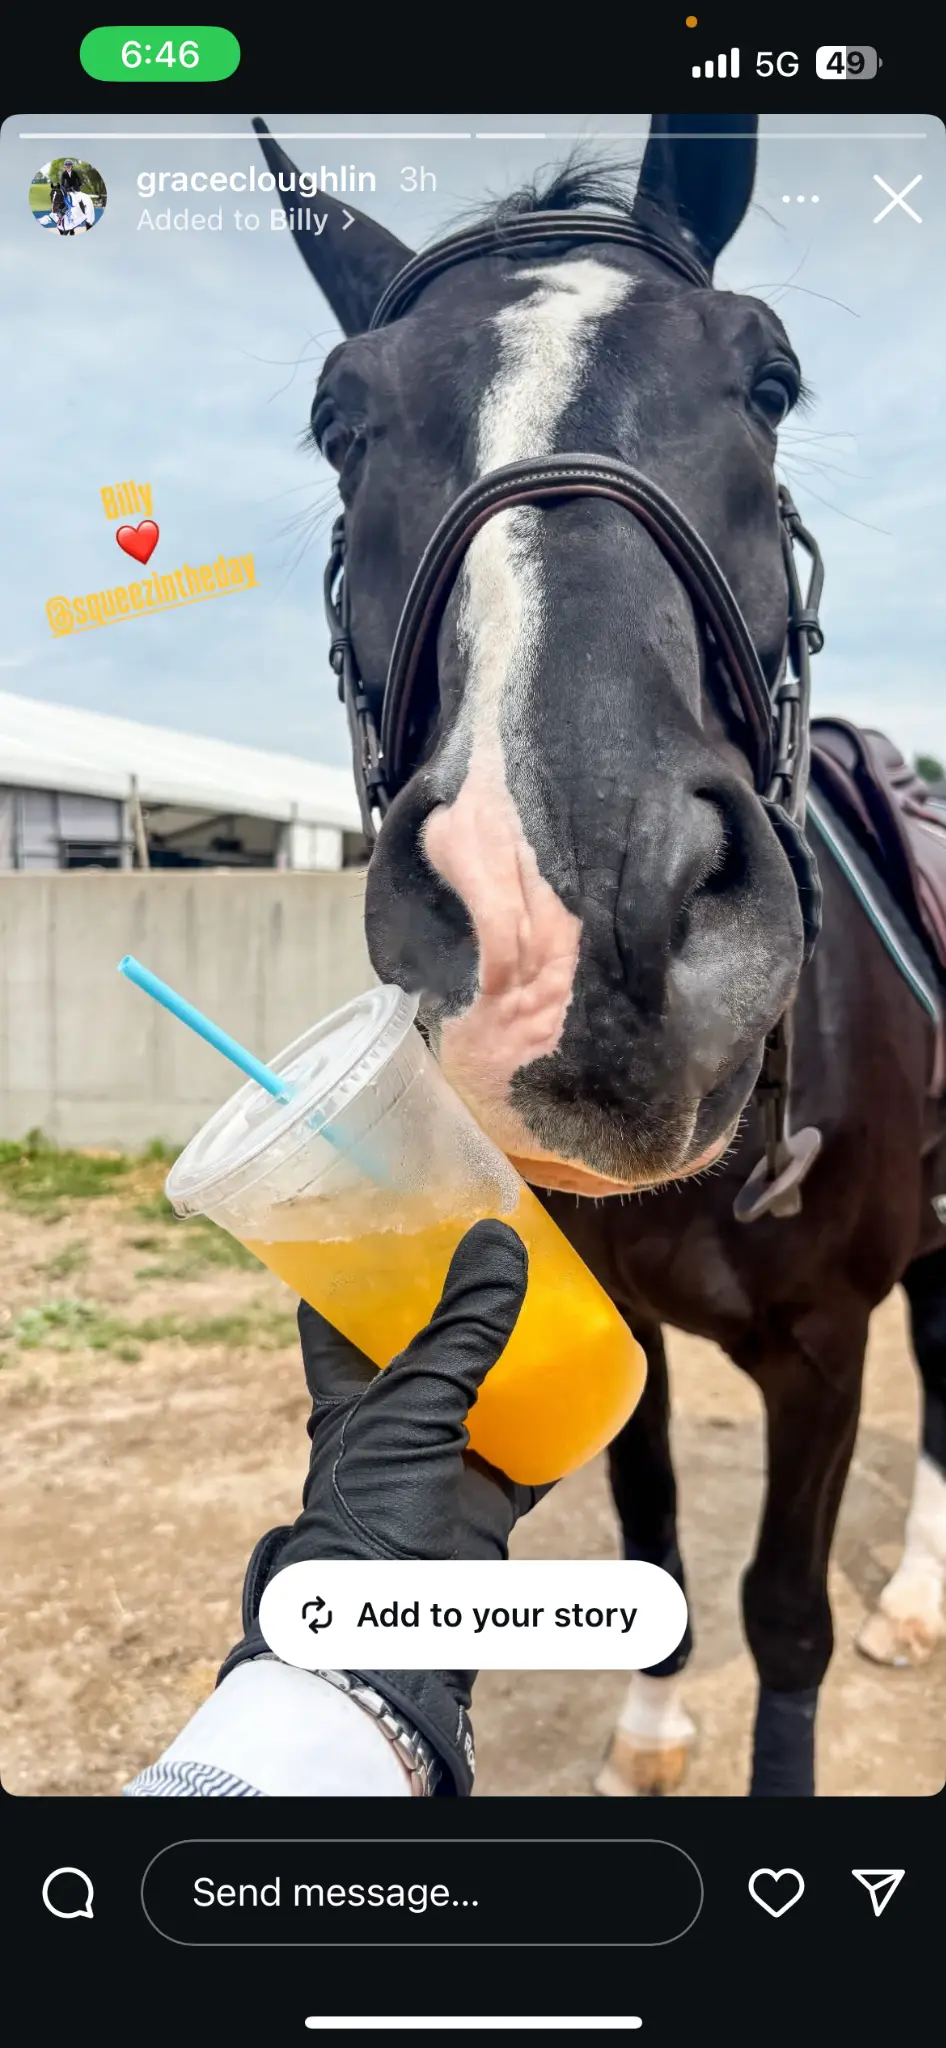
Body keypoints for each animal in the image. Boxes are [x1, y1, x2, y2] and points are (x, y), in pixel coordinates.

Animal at [256, 110, 946, 1797]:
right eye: (339, 422)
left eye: (767, 379)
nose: (571, 921)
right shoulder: (617, 1306)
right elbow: (649, 1528)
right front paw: (645, 1729)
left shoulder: (825, 1349)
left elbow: (783, 1616)